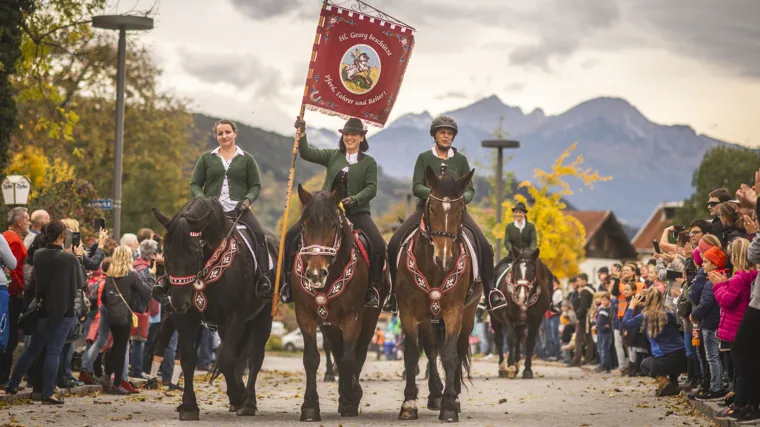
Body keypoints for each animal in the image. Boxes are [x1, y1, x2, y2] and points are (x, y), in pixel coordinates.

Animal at [152, 199, 276, 422]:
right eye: (165, 252)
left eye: (194, 252)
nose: (178, 302)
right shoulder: (186, 319)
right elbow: (188, 359)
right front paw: (189, 406)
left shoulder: (236, 316)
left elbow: (227, 360)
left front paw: (238, 395)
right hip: (224, 327)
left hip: (262, 318)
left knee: (254, 358)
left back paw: (248, 403)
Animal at [290, 184, 386, 422]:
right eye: (304, 225)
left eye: (334, 225)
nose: (316, 274)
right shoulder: (305, 317)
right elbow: (311, 359)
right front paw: (310, 407)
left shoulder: (353, 318)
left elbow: (350, 358)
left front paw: (350, 400)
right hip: (330, 325)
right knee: (336, 350)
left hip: (369, 320)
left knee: (359, 353)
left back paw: (351, 393)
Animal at [394, 166, 478, 422]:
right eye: (431, 207)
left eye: (460, 210)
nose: (444, 259)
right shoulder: (409, 313)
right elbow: (413, 354)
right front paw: (409, 403)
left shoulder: (454, 313)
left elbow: (450, 355)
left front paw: (449, 405)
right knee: (431, 350)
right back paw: (434, 395)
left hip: (468, 315)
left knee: (458, 349)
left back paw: (453, 397)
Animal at [492, 249, 552, 380]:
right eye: (515, 270)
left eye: (533, 271)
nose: (521, 296)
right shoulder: (505, 317)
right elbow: (510, 339)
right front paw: (509, 367)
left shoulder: (536, 320)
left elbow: (529, 342)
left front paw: (527, 370)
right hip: (495, 319)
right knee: (499, 340)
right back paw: (502, 367)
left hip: (520, 323)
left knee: (519, 338)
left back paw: (516, 365)